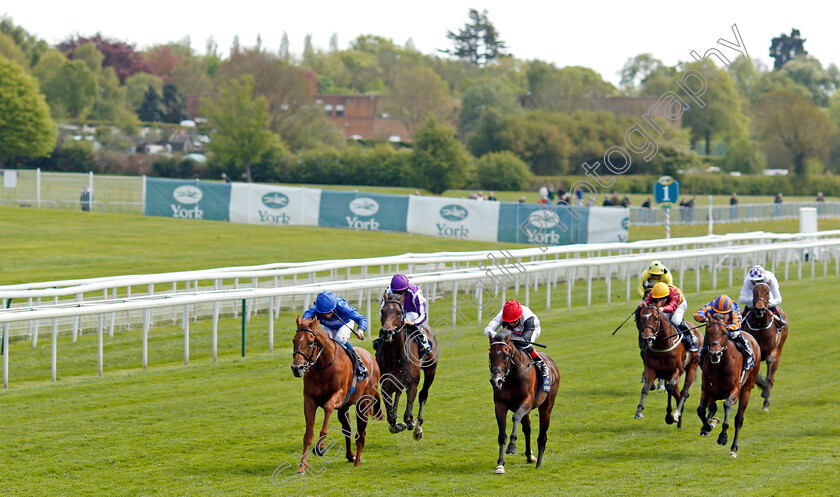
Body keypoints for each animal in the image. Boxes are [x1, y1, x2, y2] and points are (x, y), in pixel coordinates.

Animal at [288, 316, 380, 474]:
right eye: (294, 341)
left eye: (311, 342)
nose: (297, 368)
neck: (323, 367)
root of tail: (372, 359)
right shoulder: (309, 401)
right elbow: (308, 435)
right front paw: (302, 466)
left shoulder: (340, 395)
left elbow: (328, 406)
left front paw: (321, 447)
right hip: (344, 408)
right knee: (347, 430)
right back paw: (351, 456)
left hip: (363, 403)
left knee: (361, 434)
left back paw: (357, 461)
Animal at [376, 290, 440, 438]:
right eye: (382, 311)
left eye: (399, 313)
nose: (386, 332)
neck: (395, 356)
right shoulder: (385, 385)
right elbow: (391, 417)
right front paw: (397, 425)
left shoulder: (412, 383)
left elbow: (408, 414)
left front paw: (412, 423)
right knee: (399, 393)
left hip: (431, 369)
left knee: (423, 394)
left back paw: (418, 425)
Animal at [486, 330, 556, 472]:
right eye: (490, 355)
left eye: (506, 355)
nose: (496, 381)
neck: (512, 376)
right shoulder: (500, 405)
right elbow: (502, 434)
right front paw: (500, 464)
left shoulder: (527, 402)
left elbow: (516, 417)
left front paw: (512, 447)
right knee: (527, 429)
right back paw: (530, 456)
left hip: (546, 407)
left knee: (542, 437)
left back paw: (538, 464)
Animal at [696, 314, 760, 458]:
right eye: (708, 332)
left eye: (724, 333)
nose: (715, 354)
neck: (719, 367)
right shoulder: (707, 391)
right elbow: (701, 410)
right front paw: (708, 426)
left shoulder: (735, 390)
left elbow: (727, 405)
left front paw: (723, 437)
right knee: (712, 407)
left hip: (746, 389)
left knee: (739, 419)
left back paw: (733, 449)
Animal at [740, 280, 788, 412]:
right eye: (754, 292)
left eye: (767, 292)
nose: (759, 309)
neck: (760, 325)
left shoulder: (772, 352)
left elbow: (769, 377)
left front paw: (765, 394)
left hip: (780, 349)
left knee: (772, 376)